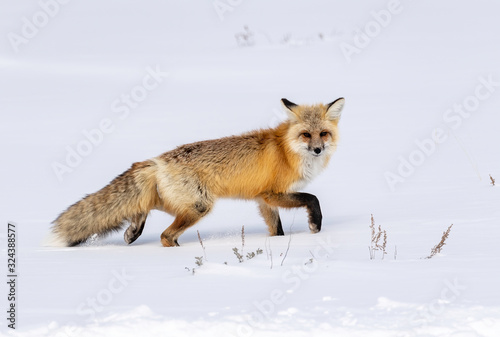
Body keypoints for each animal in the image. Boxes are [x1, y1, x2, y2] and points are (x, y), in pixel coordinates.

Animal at [50, 97, 346, 247]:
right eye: (306, 134)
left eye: (323, 133)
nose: (317, 149)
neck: (286, 150)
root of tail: (156, 160)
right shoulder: (272, 193)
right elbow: (312, 199)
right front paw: (315, 226)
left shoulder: (262, 200)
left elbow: (277, 231)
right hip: (199, 206)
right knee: (165, 235)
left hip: (183, 203)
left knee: (143, 207)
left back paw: (133, 232)